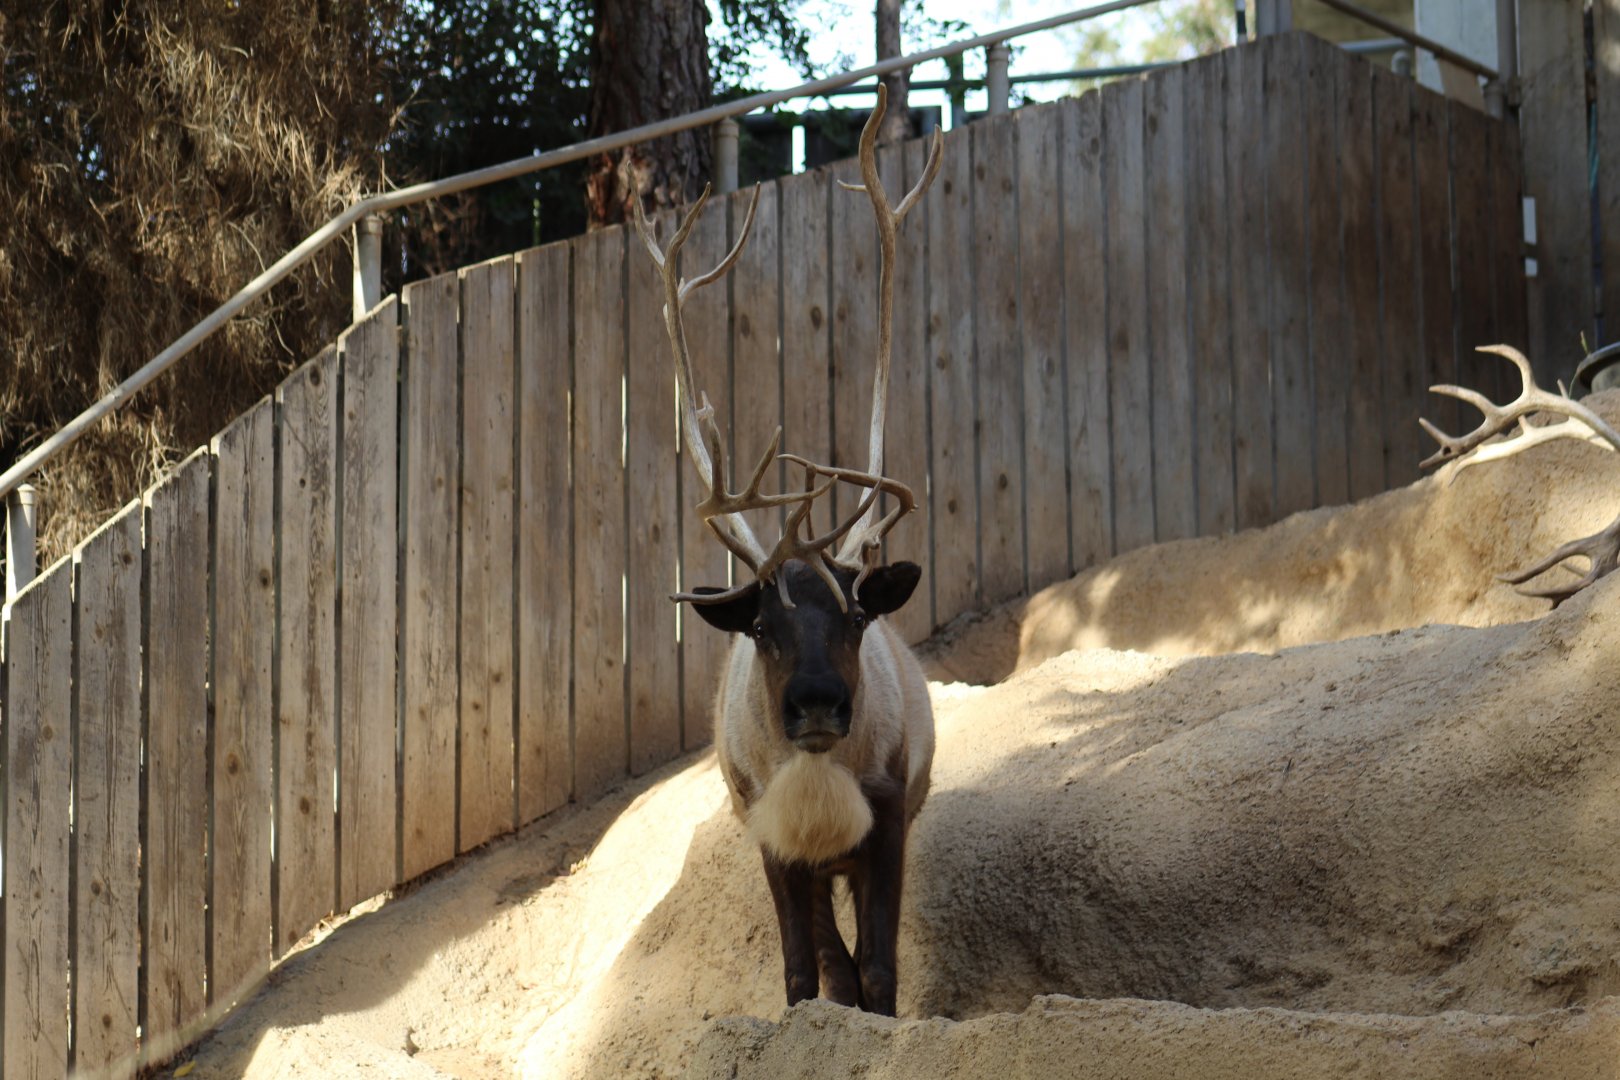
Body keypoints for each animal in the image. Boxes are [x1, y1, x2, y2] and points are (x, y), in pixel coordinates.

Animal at [631, 86, 943, 1016]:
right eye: (762, 626)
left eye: (855, 619)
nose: (815, 704)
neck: (816, 785)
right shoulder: (768, 832)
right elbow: (807, 971)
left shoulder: (888, 819)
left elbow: (878, 971)